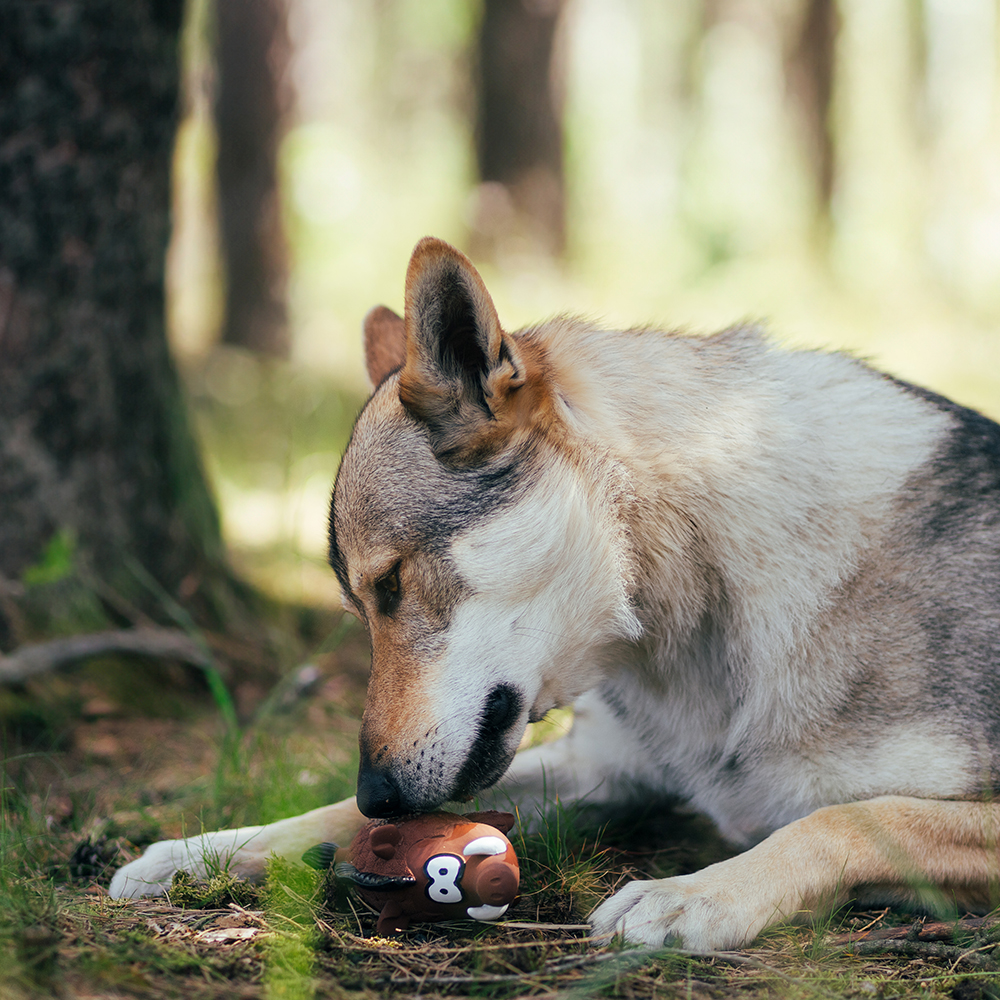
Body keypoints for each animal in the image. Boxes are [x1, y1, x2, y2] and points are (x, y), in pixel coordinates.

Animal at [109, 236, 1000, 952]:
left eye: (391, 585)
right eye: (359, 609)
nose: (380, 792)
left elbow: (849, 817)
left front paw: (692, 895)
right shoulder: (600, 768)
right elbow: (325, 816)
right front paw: (201, 850)